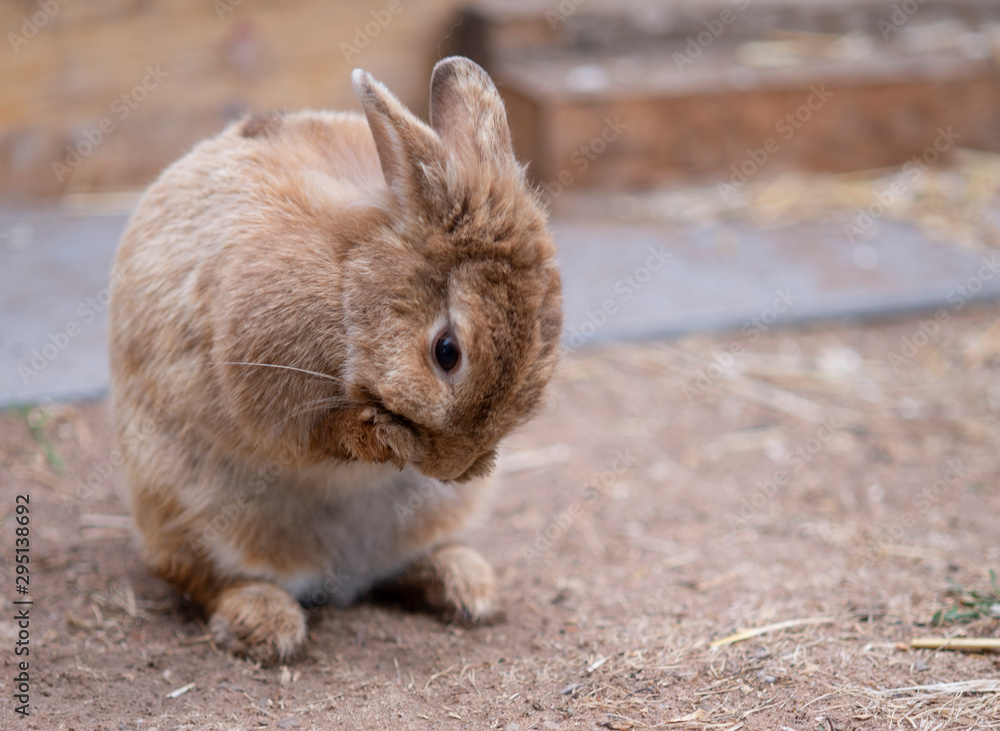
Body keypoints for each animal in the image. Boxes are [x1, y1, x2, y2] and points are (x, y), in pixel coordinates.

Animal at [107, 56, 563, 664]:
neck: (352, 283)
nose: (451, 470)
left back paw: (466, 586)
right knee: (203, 578)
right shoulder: (266, 378)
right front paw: (382, 437)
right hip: (188, 506)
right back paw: (266, 622)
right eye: (447, 352)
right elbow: (313, 433)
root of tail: (342, 578)